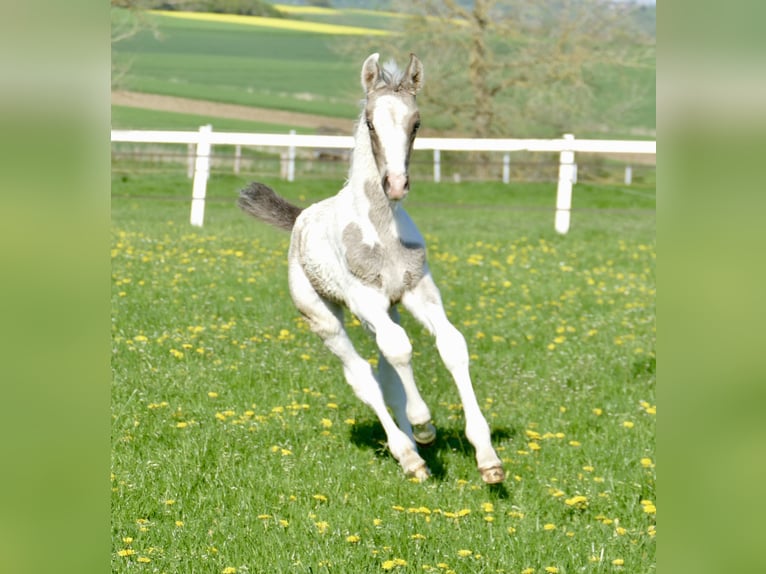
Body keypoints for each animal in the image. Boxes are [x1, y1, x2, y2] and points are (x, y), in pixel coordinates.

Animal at [238, 53, 505, 484]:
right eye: (370, 122)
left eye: (416, 123)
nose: (395, 184)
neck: (382, 231)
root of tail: (300, 217)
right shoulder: (365, 298)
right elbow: (400, 350)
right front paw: (424, 423)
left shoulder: (417, 292)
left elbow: (451, 345)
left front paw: (487, 458)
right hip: (325, 315)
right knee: (364, 375)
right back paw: (409, 453)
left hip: (387, 311)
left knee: (387, 373)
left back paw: (414, 450)